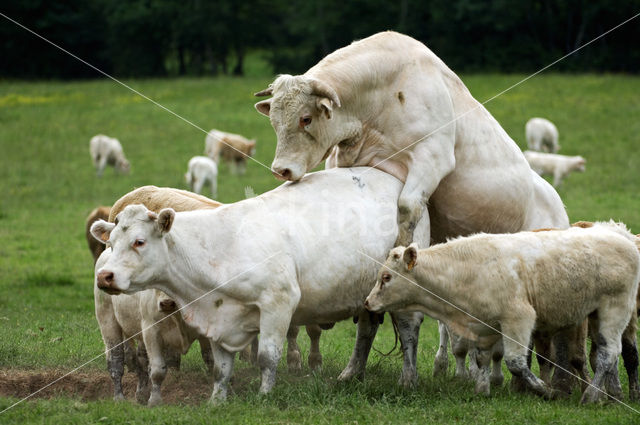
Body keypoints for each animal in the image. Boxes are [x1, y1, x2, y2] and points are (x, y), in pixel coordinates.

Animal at [90, 167, 428, 402]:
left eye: (139, 241)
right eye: (111, 243)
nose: (104, 276)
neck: (220, 247)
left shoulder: (278, 304)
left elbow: (267, 356)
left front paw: (265, 395)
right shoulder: (218, 316)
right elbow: (220, 367)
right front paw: (217, 400)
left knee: (409, 330)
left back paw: (408, 379)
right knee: (366, 330)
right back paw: (351, 374)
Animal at [252, 29, 568, 388]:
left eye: (306, 119)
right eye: (275, 122)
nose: (281, 169)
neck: (383, 95)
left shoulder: (432, 157)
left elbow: (406, 208)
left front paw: (401, 248)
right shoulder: (346, 160)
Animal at [364, 220, 640, 402]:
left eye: (386, 277)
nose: (367, 303)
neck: (468, 269)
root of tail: (621, 235)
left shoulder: (519, 318)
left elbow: (515, 363)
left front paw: (544, 390)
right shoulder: (483, 326)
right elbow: (482, 358)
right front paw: (482, 388)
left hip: (615, 310)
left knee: (608, 354)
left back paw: (592, 395)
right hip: (595, 314)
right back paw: (608, 395)